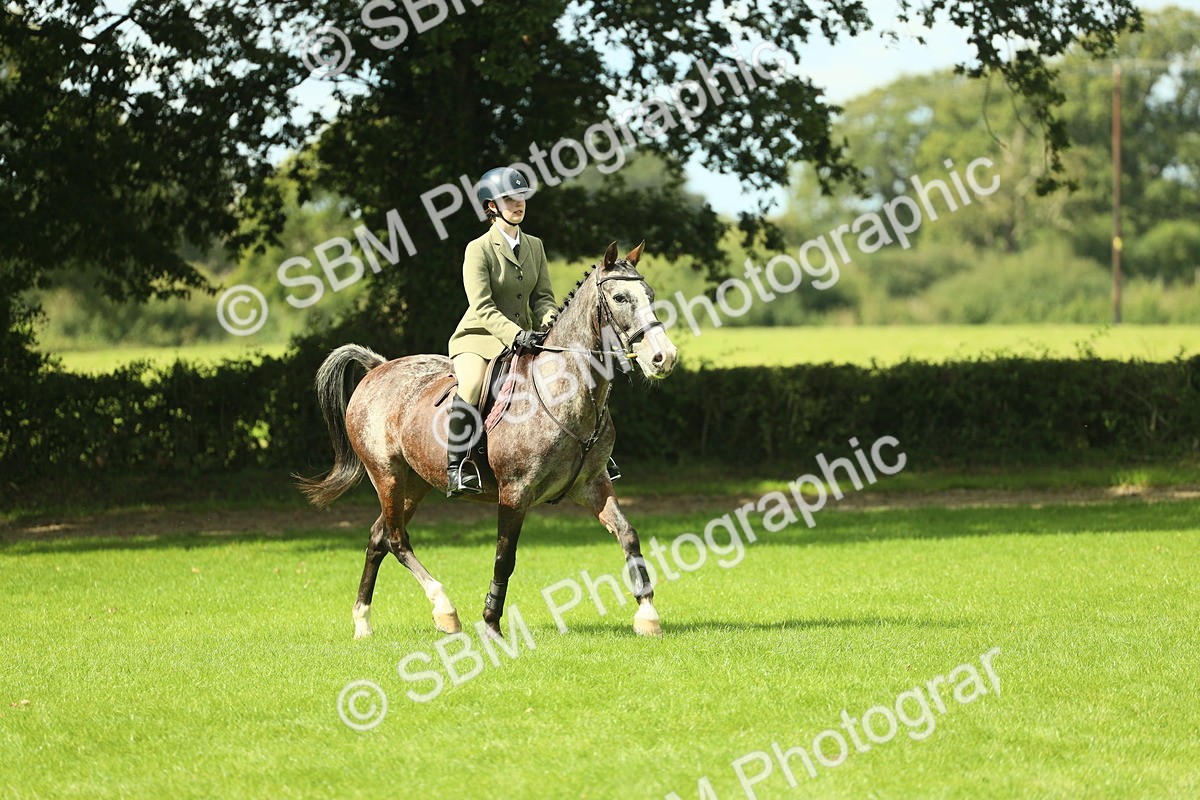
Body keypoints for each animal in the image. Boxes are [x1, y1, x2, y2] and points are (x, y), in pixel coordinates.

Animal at [297, 241, 679, 640]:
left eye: (650, 295)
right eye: (620, 297)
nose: (664, 357)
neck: (564, 390)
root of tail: (378, 368)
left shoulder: (592, 484)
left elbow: (628, 534)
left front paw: (648, 614)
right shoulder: (514, 493)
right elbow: (504, 557)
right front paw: (492, 624)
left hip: (415, 483)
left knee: (379, 536)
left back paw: (363, 622)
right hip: (386, 475)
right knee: (397, 539)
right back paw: (444, 609)